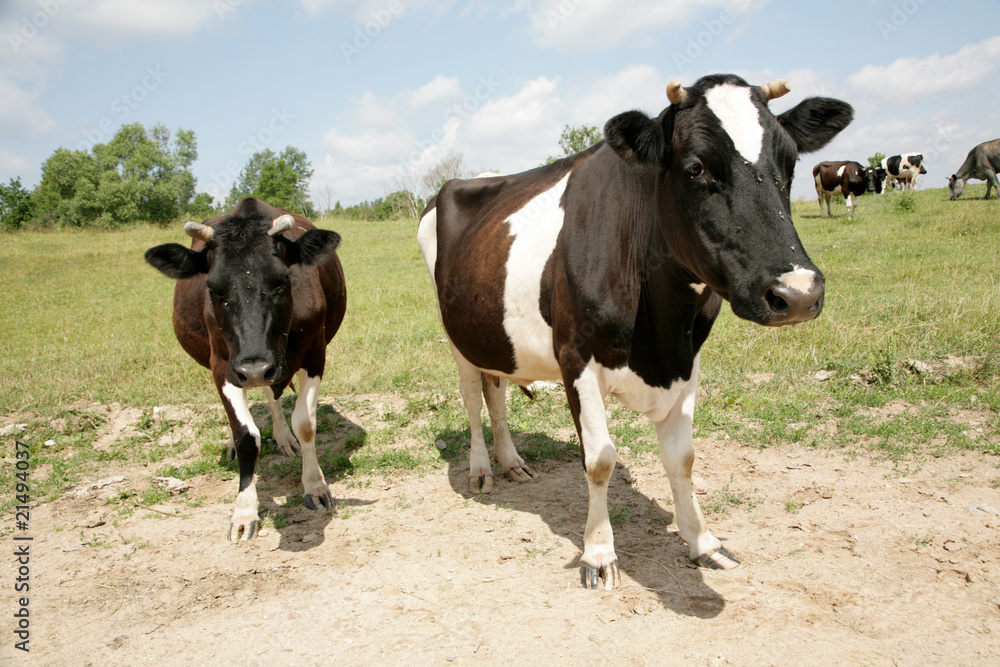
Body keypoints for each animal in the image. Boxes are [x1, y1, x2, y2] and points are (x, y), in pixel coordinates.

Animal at [143, 198, 348, 544]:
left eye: (283, 281)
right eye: (212, 288)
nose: (254, 367)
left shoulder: (315, 352)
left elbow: (305, 424)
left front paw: (315, 486)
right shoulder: (223, 365)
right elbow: (246, 435)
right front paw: (244, 512)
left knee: (271, 393)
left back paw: (282, 437)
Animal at [416, 74, 852, 588]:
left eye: (790, 163)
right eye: (695, 167)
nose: (799, 292)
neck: (660, 332)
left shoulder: (688, 357)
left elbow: (682, 458)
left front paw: (703, 543)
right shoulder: (575, 356)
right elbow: (600, 459)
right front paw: (599, 554)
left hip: (497, 339)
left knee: (496, 391)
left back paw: (513, 463)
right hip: (456, 335)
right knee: (471, 396)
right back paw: (482, 470)